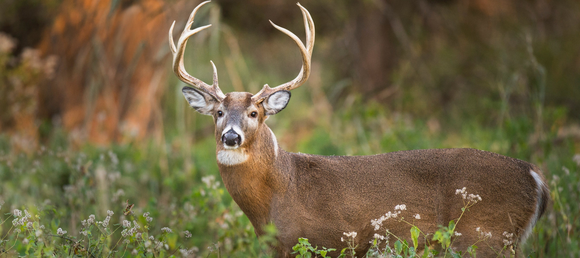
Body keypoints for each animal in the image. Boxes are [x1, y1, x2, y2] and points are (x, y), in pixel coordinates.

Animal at [168, 1, 548, 256]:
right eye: (218, 112)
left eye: (254, 112)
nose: (231, 136)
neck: (279, 190)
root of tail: (535, 176)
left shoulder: (328, 240)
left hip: (486, 236)